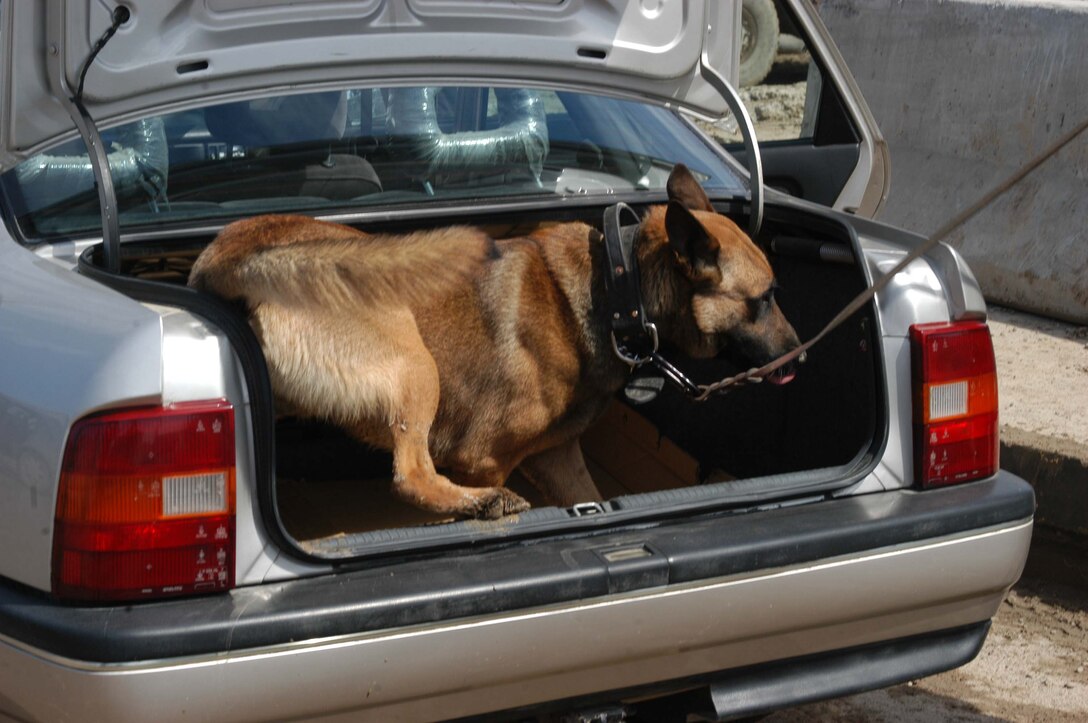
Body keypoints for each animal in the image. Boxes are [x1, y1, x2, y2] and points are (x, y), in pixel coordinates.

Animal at [184, 165, 800, 519]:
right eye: (764, 299)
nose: (800, 352)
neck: (615, 288)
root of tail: (238, 248)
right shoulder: (487, 458)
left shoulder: (559, 459)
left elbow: (592, 498)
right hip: (416, 363)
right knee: (412, 477)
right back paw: (480, 505)